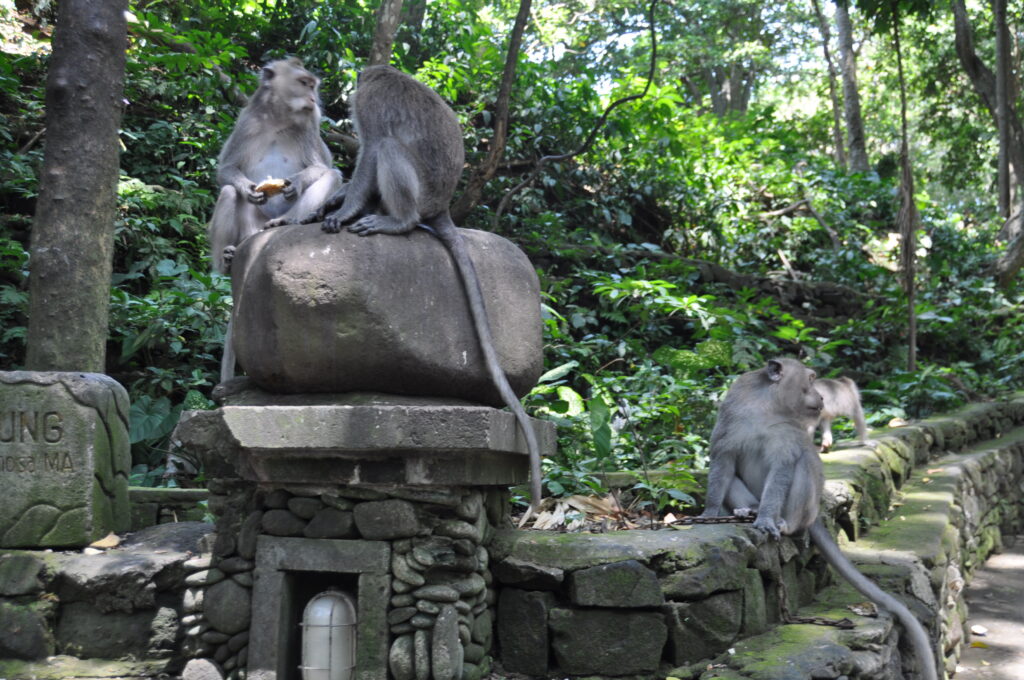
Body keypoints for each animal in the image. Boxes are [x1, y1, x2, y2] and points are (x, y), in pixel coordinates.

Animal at [207, 57, 344, 383]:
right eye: (304, 83)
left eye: (313, 85)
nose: (313, 99)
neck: (280, 118)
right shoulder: (246, 122)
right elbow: (227, 170)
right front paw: (248, 188)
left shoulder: (309, 128)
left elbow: (322, 168)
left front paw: (296, 183)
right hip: (248, 228)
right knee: (228, 193)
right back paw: (226, 260)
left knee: (333, 175)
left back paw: (285, 222)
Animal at [700, 358, 937, 675]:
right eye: (811, 379)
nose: (822, 397)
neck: (768, 406)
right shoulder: (732, 417)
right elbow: (723, 463)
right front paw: (710, 512)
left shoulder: (788, 432)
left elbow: (783, 468)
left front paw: (766, 519)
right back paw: (746, 509)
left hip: (807, 508)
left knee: (804, 463)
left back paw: (785, 524)